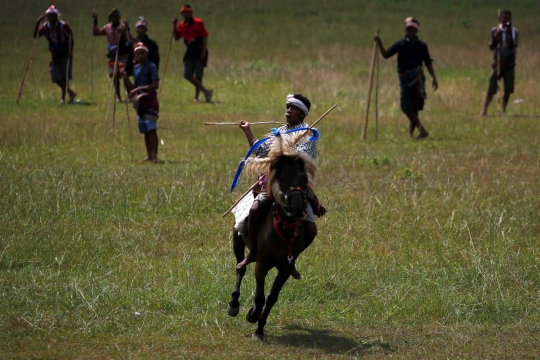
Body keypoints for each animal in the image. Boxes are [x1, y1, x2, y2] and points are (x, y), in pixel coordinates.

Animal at [227, 150, 318, 340]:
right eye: (281, 179)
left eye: (303, 177)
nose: (298, 208)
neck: (285, 228)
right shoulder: (262, 264)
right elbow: (260, 297)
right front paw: (253, 314)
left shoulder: (285, 269)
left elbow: (271, 298)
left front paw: (259, 329)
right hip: (237, 240)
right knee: (241, 268)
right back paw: (233, 304)